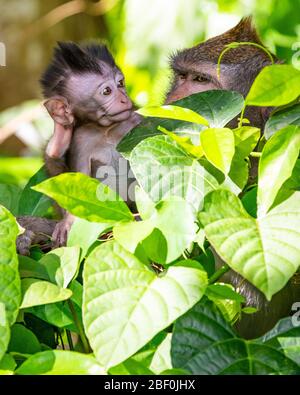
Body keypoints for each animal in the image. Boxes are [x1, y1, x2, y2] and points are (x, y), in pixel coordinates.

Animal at [40, 43, 141, 248]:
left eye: (120, 83)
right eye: (107, 91)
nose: (124, 99)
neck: (106, 129)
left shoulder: (138, 121)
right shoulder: (81, 140)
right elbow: (79, 182)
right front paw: (60, 134)